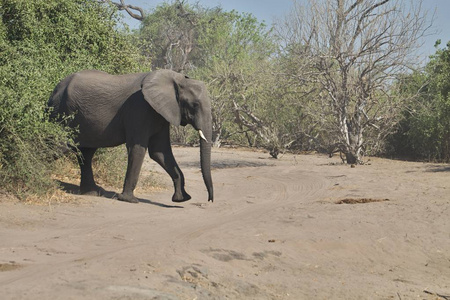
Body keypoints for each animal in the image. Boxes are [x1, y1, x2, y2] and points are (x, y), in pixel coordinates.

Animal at [48, 69, 214, 203]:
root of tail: (55, 89)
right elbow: (138, 149)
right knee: (59, 146)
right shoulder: (138, 108)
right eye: (194, 105)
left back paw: (91, 193)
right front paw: (129, 200)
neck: (176, 79)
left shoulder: (160, 113)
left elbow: (160, 151)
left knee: (86, 153)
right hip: (61, 112)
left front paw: (181, 199)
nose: (210, 200)